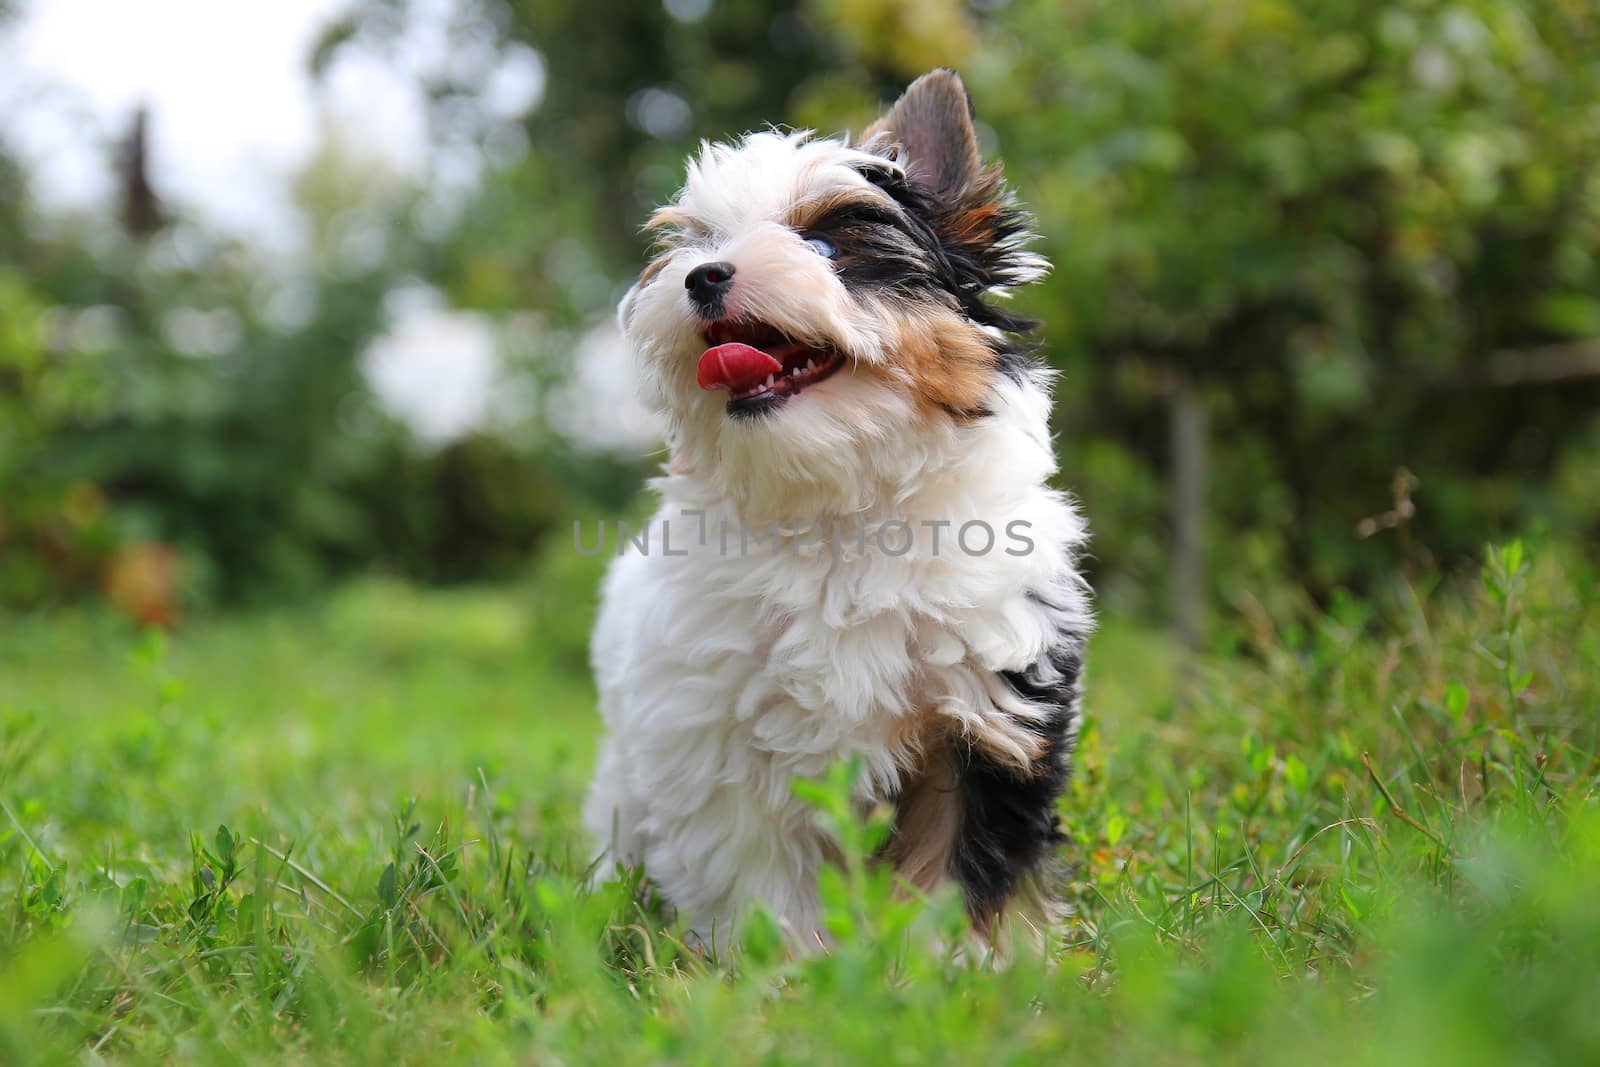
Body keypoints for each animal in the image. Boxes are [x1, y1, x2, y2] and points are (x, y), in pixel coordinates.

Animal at [588, 70, 1100, 947]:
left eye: (827, 247)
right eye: (696, 244)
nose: (703, 276)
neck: (839, 500)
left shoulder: (990, 710)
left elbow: (959, 860)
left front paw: (951, 963)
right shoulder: (716, 734)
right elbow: (755, 864)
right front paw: (789, 964)